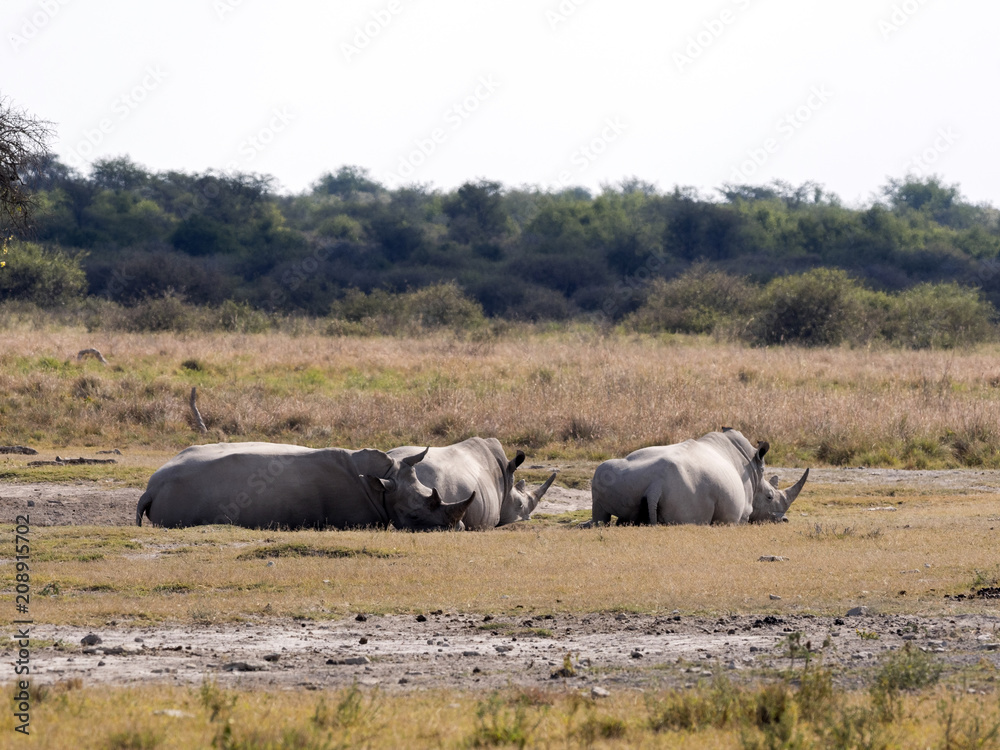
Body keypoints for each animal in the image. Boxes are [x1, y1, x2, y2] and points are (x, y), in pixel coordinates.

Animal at [590, 429, 808, 526]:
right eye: (770, 497)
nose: (784, 520)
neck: (755, 473)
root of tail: (656, 486)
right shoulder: (743, 514)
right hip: (688, 494)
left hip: (613, 474)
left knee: (601, 511)